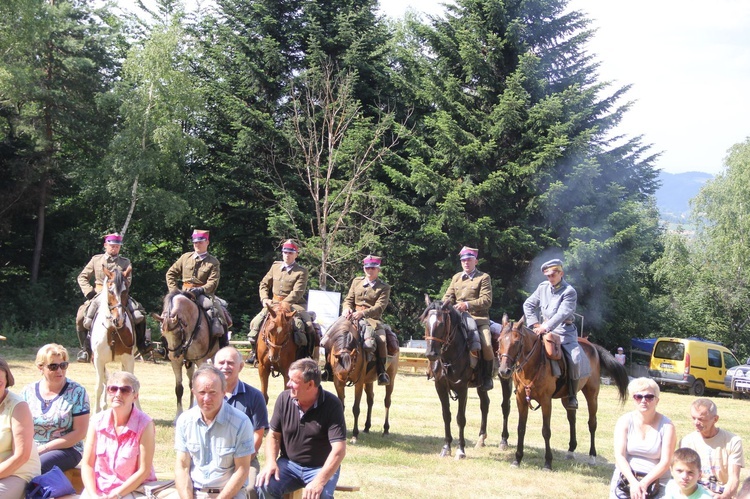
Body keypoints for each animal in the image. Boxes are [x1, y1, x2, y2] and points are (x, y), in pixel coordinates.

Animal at [90, 268, 138, 412]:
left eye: (126, 291)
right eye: (110, 290)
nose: (119, 320)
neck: (112, 329)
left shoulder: (129, 359)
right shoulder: (98, 360)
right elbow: (99, 387)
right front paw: (96, 412)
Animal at [153, 290, 220, 422]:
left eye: (179, 332)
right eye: (163, 334)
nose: (173, 355)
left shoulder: (201, 360)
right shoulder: (177, 363)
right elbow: (179, 388)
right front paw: (178, 415)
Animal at [420, 296, 516, 460]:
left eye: (441, 323)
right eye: (426, 322)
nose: (431, 354)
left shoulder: (462, 387)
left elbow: (460, 418)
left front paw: (460, 450)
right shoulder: (440, 387)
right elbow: (446, 415)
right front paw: (446, 448)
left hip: (506, 377)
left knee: (505, 406)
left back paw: (503, 441)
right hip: (481, 385)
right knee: (485, 404)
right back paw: (481, 439)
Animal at [502, 318, 632, 470]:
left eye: (516, 342)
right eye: (499, 340)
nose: (504, 370)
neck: (535, 363)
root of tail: (592, 346)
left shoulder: (546, 401)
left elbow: (546, 431)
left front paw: (548, 462)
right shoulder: (521, 399)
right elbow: (521, 428)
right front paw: (517, 459)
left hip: (592, 395)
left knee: (592, 423)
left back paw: (592, 456)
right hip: (567, 397)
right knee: (572, 419)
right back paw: (571, 450)